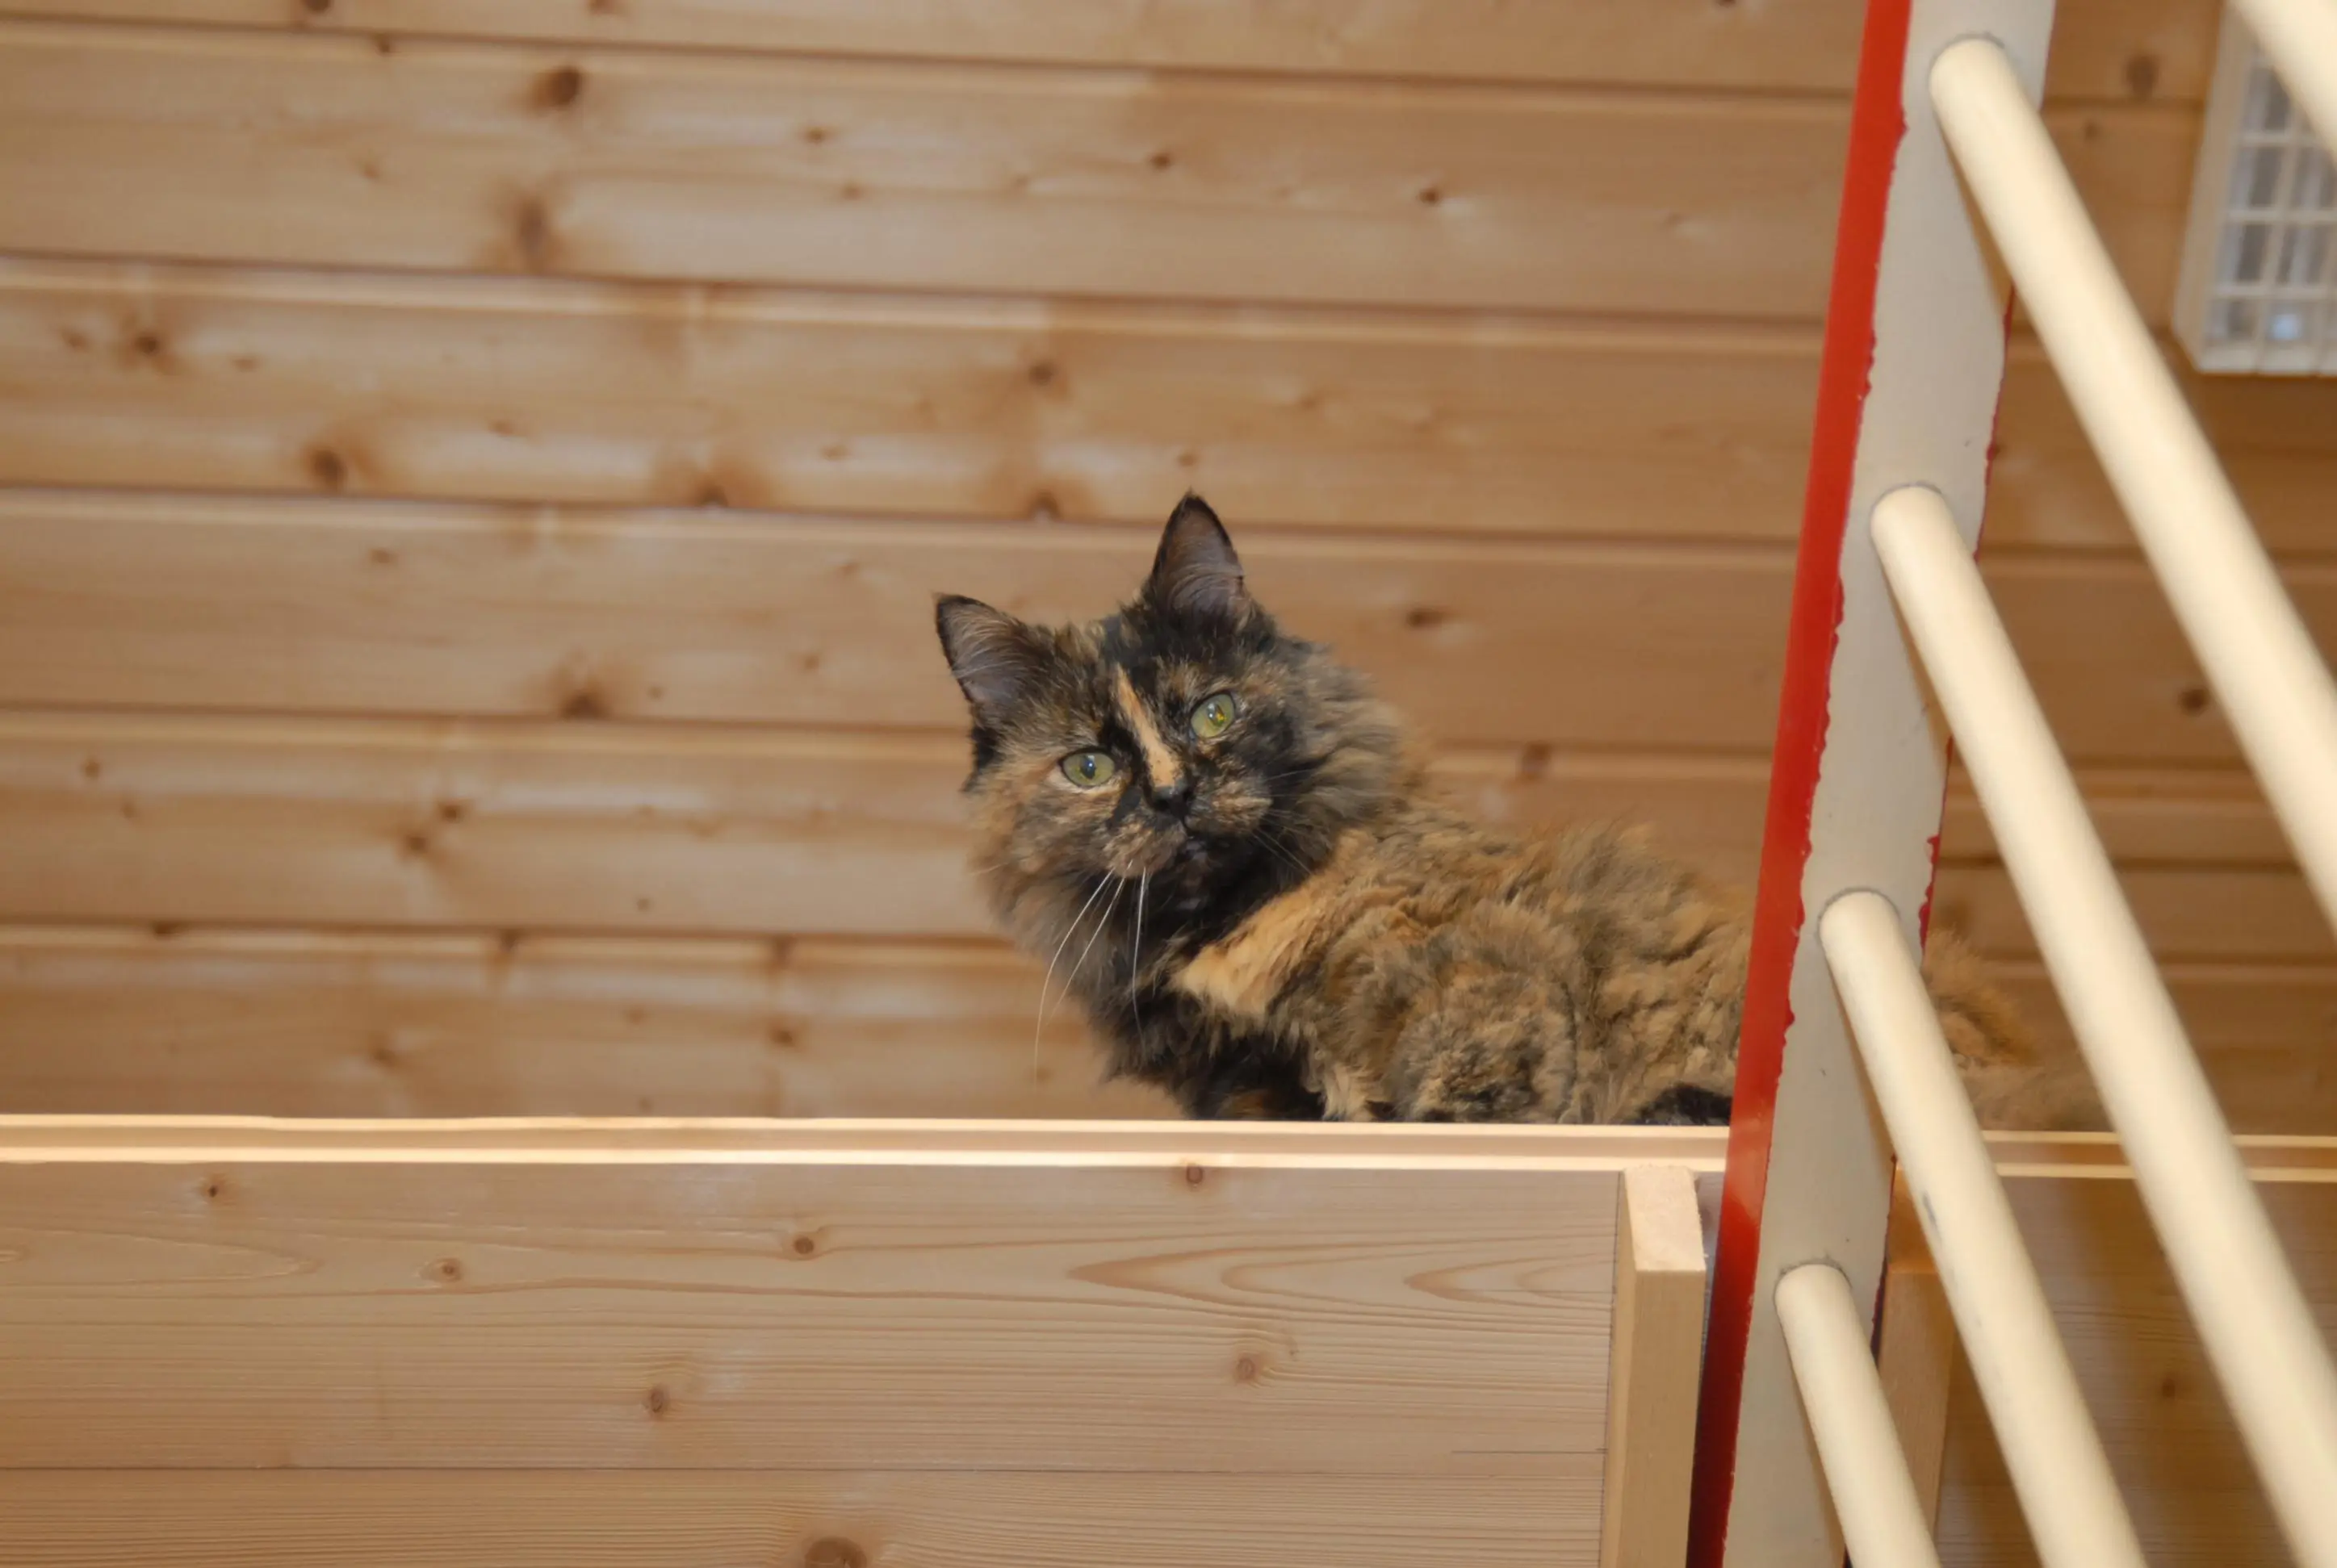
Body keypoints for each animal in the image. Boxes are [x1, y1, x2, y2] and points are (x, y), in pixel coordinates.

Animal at [934, 493, 2090, 1128]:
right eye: (1089, 766)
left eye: (1211, 711)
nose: (1174, 795)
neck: (1223, 922)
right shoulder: (1249, 1088)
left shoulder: (1478, 984)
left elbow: (1461, 1099)